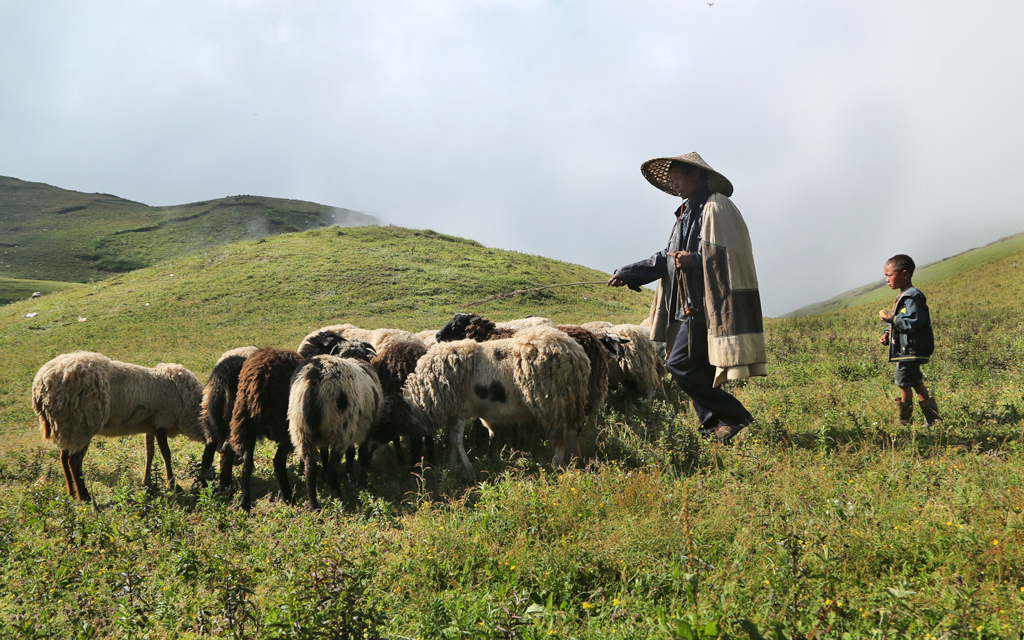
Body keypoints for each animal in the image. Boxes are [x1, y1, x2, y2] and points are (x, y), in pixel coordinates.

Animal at [32, 352, 204, 501]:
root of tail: (40, 386)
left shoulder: (151, 425)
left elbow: (150, 453)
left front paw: (147, 481)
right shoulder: (162, 421)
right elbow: (166, 454)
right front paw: (173, 485)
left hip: (67, 427)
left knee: (63, 457)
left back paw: (72, 492)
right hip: (80, 424)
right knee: (74, 462)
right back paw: (85, 496)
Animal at [288, 339, 385, 509]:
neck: (354, 357)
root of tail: (314, 378)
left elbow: (337, 454)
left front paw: (349, 476)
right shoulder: (366, 429)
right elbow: (361, 455)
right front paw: (362, 482)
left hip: (301, 430)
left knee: (310, 467)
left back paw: (313, 504)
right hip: (341, 427)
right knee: (333, 468)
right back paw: (339, 499)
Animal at [401, 323, 589, 479]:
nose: (414, 464)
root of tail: (576, 354)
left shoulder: (460, 410)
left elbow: (456, 441)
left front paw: (468, 471)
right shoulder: (454, 413)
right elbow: (453, 442)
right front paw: (451, 469)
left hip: (553, 402)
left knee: (561, 436)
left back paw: (557, 466)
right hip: (569, 399)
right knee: (572, 431)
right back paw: (578, 461)